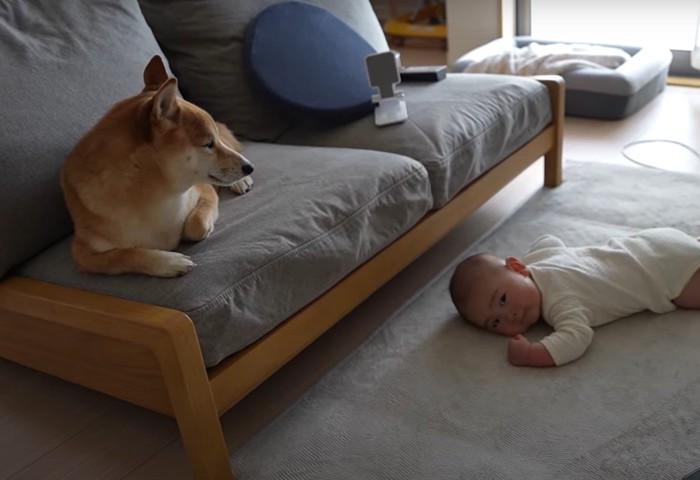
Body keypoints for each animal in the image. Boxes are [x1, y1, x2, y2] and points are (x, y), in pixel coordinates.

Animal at [59, 55, 252, 278]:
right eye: (208, 144)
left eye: (214, 141)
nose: (250, 167)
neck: (160, 196)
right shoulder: (83, 253)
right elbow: (125, 255)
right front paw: (168, 262)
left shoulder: (203, 190)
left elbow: (197, 227)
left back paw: (242, 182)